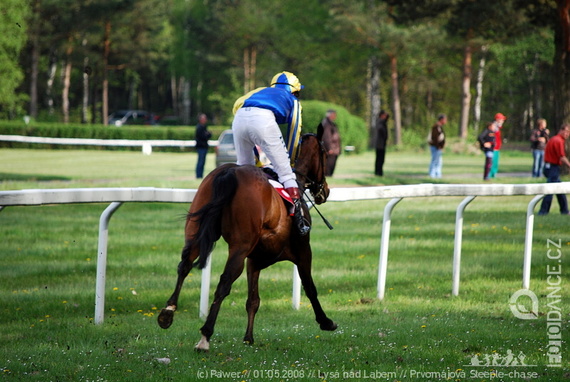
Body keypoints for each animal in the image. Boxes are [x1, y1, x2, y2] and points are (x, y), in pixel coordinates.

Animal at [155, 133, 336, 350]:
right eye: (324, 153)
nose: (325, 191)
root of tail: (229, 172)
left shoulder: (253, 260)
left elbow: (253, 299)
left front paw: (248, 337)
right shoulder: (303, 251)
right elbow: (310, 287)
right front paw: (326, 321)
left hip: (195, 232)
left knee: (185, 264)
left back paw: (168, 313)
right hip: (239, 247)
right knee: (224, 281)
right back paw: (205, 335)